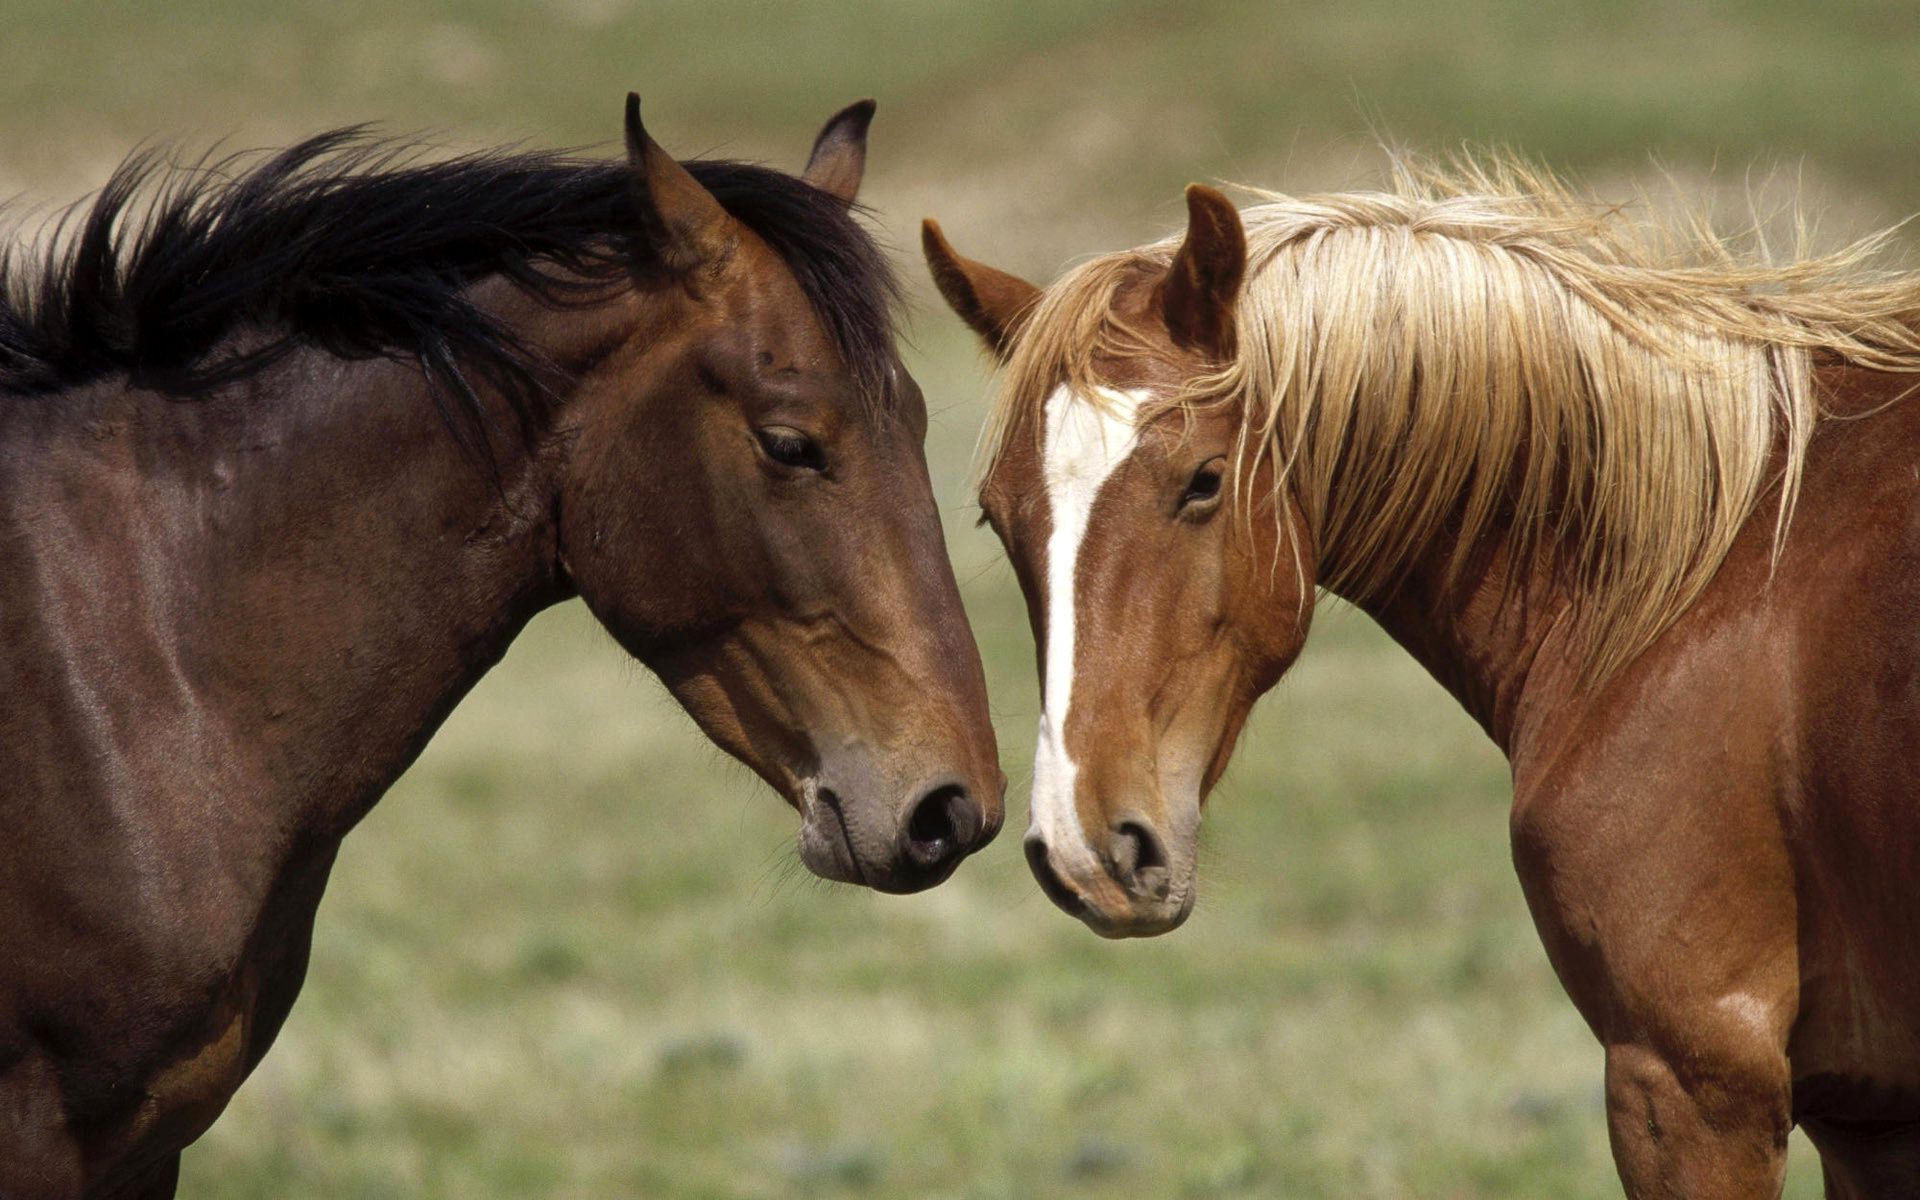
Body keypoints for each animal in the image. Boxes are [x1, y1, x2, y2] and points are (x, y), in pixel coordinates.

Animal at [936, 161, 1920, 1198]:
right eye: (996, 514)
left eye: (1202, 480)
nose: (1087, 849)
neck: (1705, 568)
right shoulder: (1868, 1122)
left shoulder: (1692, 1075)